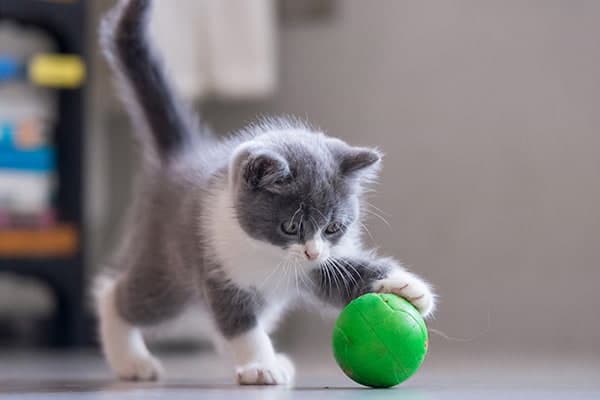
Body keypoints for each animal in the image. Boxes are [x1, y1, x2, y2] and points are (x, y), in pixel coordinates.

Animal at [96, 0, 436, 386]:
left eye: (333, 228)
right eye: (290, 226)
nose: (311, 251)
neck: (270, 256)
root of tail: (183, 155)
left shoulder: (319, 267)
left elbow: (344, 274)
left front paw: (408, 287)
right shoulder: (218, 268)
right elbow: (240, 322)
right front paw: (260, 364)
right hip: (168, 267)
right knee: (119, 294)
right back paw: (130, 359)